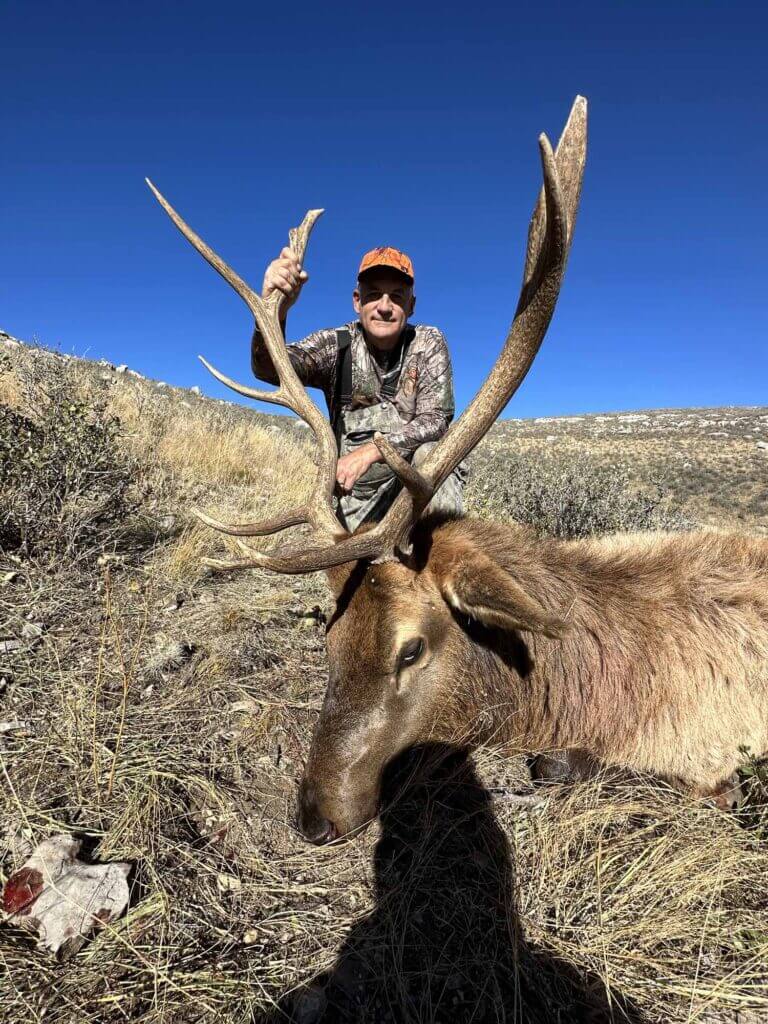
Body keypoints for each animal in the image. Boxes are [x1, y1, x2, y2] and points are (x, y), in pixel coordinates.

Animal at [148, 96, 768, 845]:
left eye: (412, 650)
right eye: (331, 636)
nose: (314, 813)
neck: (602, 683)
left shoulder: (712, 754)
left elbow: (571, 765)